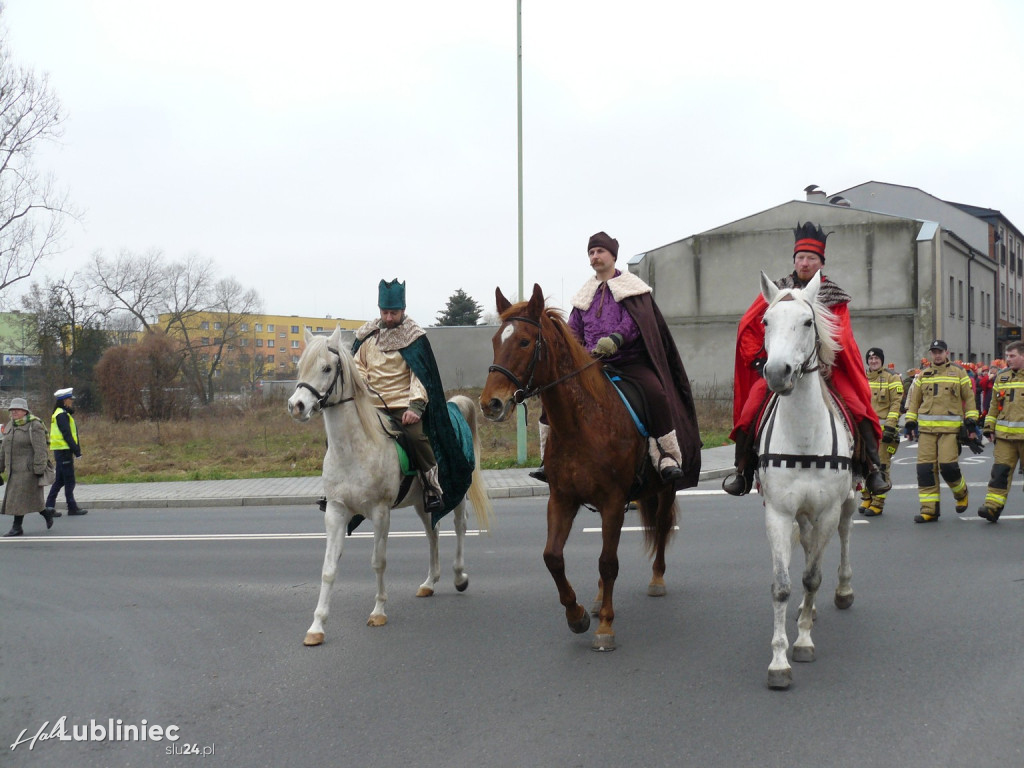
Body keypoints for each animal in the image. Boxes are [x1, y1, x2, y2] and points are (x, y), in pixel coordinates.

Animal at [286, 327, 493, 647]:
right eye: (301, 367)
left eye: (327, 368)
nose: (297, 406)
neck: (354, 449)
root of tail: (455, 406)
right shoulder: (336, 512)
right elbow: (328, 569)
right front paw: (317, 626)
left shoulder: (381, 512)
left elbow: (378, 562)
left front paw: (379, 611)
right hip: (423, 502)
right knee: (432, 532)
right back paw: (430, 582)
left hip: (457, 492)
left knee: (459, 526)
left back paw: (459, 577)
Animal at [479, 286, 679, 651]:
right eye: (496, 340)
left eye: (525, 342)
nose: (491, 404)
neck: (581, 424)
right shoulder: (562, 499)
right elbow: (553, 557)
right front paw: (578, 615)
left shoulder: (613, 501)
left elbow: (608, 563)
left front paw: (605, 627)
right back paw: (599, 600)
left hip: (665, 487)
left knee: (660, 526)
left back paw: (657, 578)